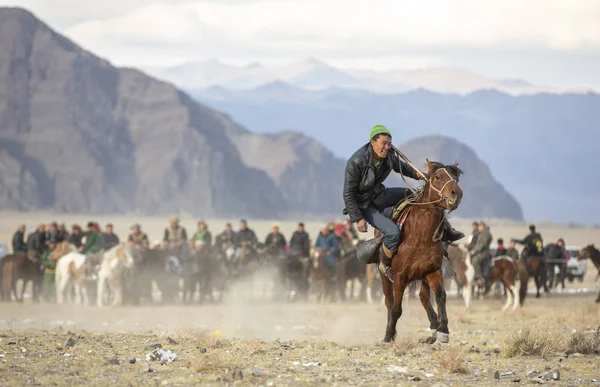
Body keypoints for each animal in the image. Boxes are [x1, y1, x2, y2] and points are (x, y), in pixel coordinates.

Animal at [360, 161, 464, 346]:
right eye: (438, 177)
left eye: (456, 177)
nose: (456, 194)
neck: (420, 235)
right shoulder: (400, 277)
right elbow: (396, 308)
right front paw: (389, 335)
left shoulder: (433, 271)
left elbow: (440, 296)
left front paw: (443, 330)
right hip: (384, 275)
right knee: (389, 302)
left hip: (422, 276)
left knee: (423, 296)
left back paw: (433, 330)